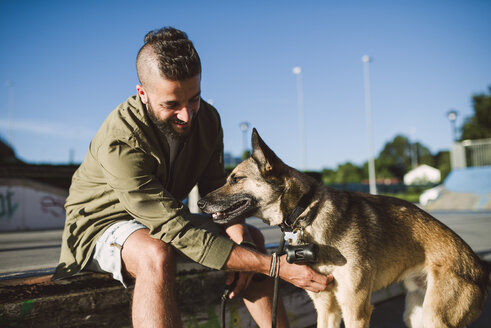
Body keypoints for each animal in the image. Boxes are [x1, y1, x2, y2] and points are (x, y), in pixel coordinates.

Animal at [198, 128, 490, 328]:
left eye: (236, 179)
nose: (200, 202)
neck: (307, 213)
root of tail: (478, 266)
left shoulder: (356, 309)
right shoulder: (326, 308)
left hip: (434, 318)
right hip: (416, 315)